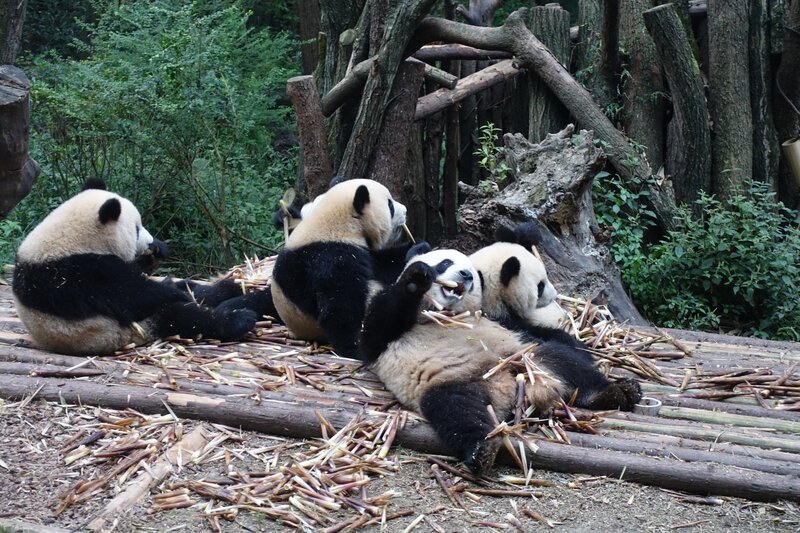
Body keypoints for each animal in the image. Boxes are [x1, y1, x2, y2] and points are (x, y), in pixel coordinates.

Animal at [12, 179, 257, 356]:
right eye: (137, 229)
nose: (149, 243)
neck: (68, 239)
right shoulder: (77, 274)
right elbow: (133, 295)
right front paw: (173, 291)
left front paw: (158, 252)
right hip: (127, 330)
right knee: (182, 316)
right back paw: (239, 319)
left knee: (192, 289)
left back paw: (228, 287)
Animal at [221, 179, 413, 359]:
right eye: (390, 205)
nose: (405, 210)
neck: (335, 223)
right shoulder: (331, 257)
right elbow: (340, 306)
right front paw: (356, 347)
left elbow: (381, 264)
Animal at [359, 247, 641, 475]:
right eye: (445, 262)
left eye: (473, 275)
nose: (465, 275)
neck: (444, 316)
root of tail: (509, 388)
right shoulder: (385, 338)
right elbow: (377, 328)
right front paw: (417, 277)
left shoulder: (494, 318)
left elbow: (533, 332)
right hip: (454, 381)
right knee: (456, 409)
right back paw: (482, 448)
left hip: (524, 357)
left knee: (564, 361)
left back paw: (614, 392)